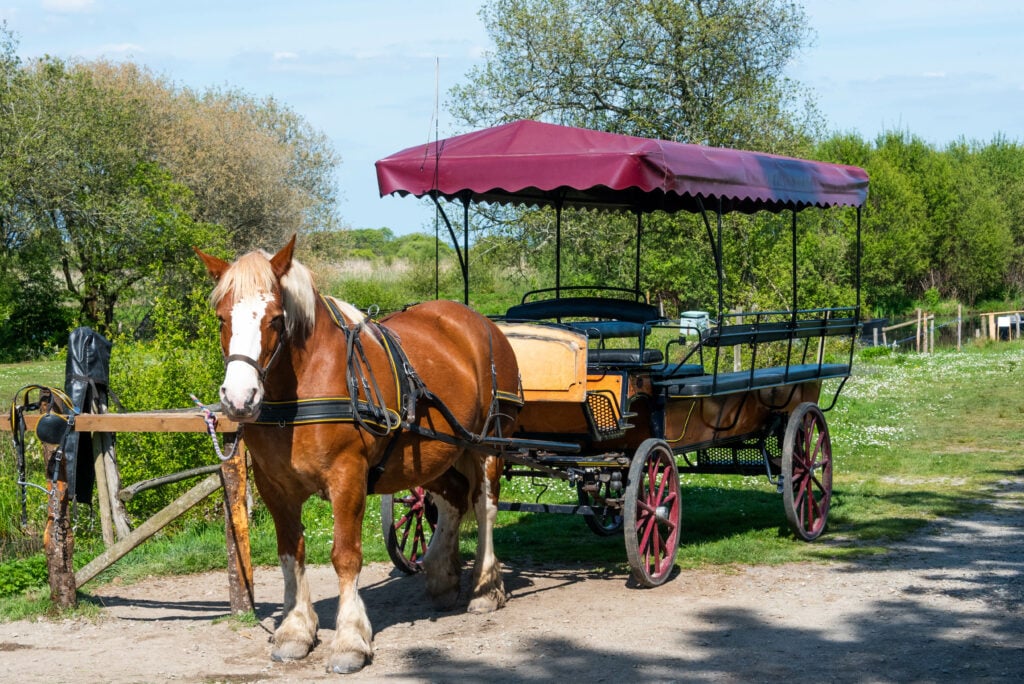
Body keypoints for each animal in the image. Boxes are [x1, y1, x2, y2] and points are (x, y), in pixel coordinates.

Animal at [196, 237, 524, 675]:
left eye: (276, 319)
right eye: (221, 318)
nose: (238, 398)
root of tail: (478, 321)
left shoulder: (347, 477)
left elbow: (345, 556)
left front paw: (350, 639)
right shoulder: (274, 486)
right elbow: (290, 553)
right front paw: (295, 629)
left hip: (487, 444)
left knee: (484, 506)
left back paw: (486, 588)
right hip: (432, 452)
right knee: (452, 498)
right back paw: (441, 575)